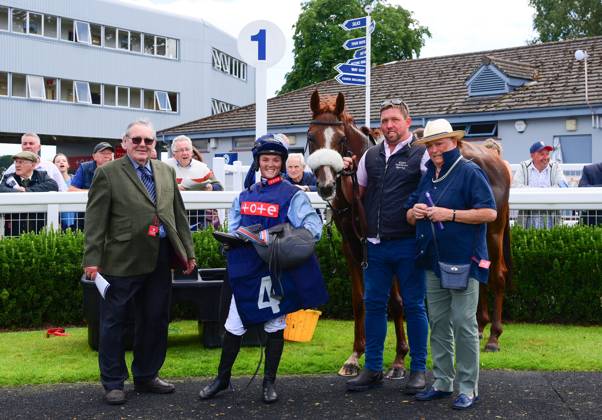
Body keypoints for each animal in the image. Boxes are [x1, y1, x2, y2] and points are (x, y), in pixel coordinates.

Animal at [304, 91, 408, 378]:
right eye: (310, 137)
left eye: (341, 139)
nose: (326, 186)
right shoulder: (352, 246)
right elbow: (360, 300)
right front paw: (355, 355)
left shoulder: (386, 245)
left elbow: (396, 301)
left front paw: (399, 359)